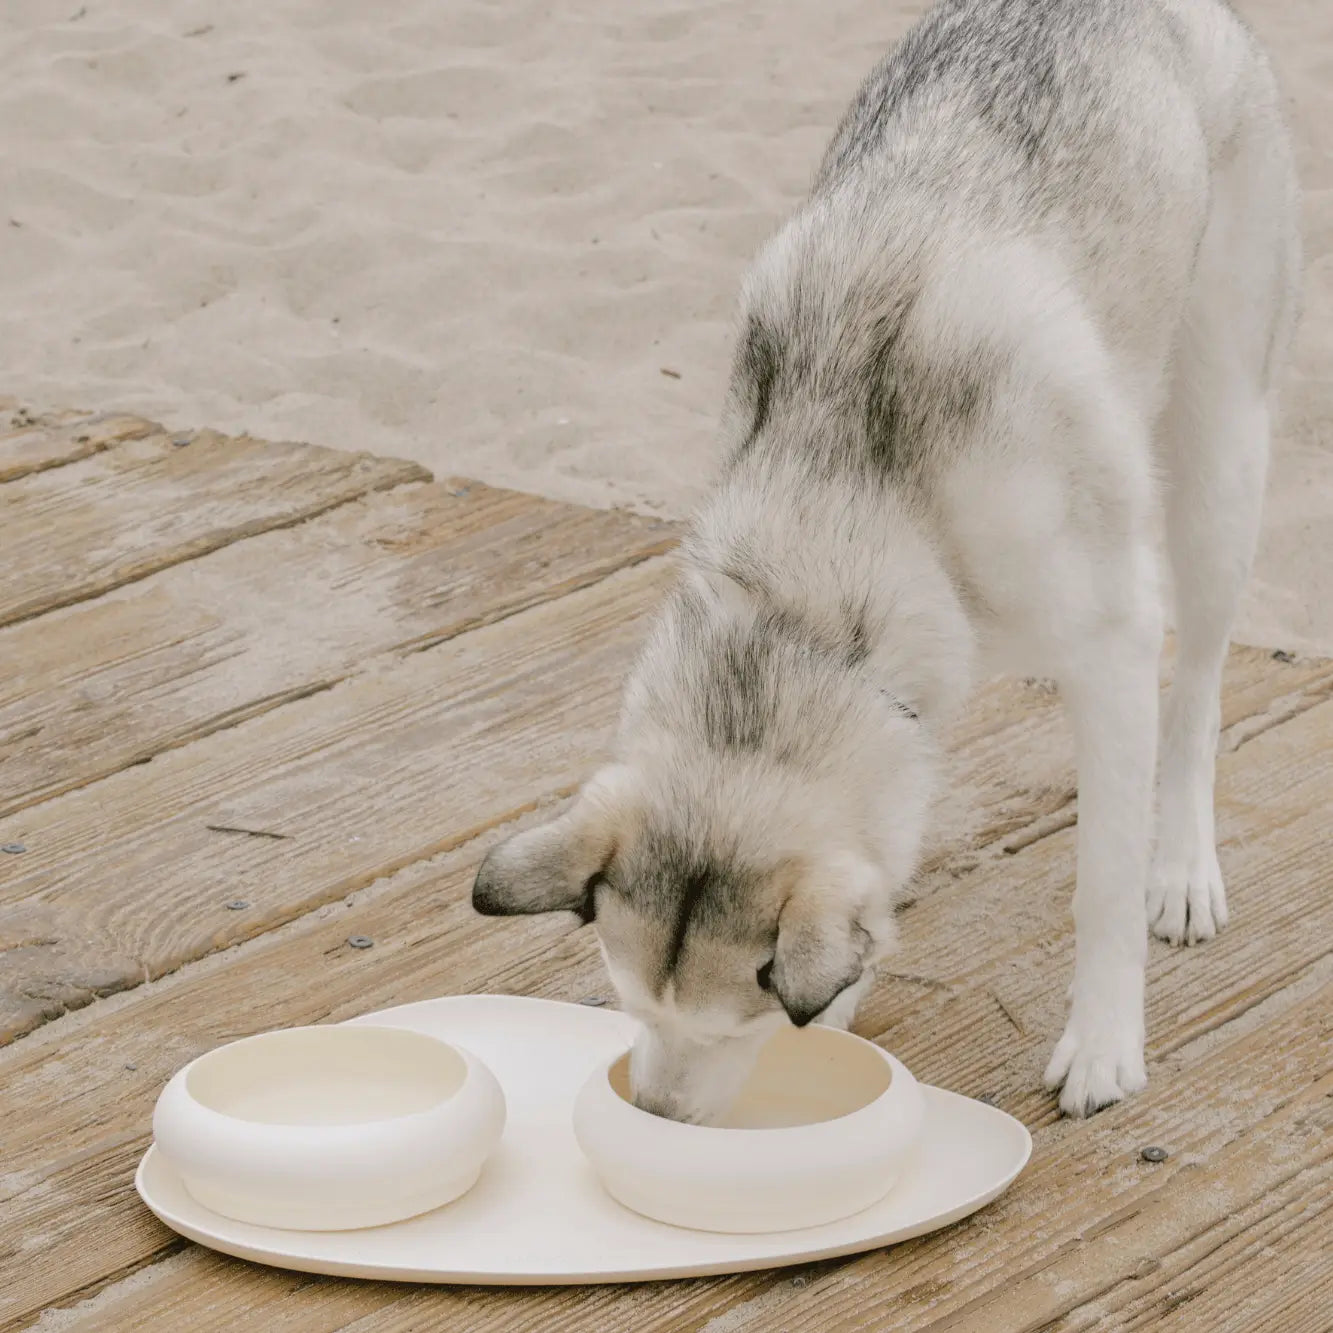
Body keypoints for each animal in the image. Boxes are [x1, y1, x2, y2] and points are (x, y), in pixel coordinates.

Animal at [471, 0, 1301, 1125]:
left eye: (736, 1020)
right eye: (628, 1000)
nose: (656, 1117)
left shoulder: (1113, 642)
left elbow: (1100, 883)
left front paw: (1102, 1042)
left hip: (1218, 465)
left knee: (1201, 688)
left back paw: (1179, 866)